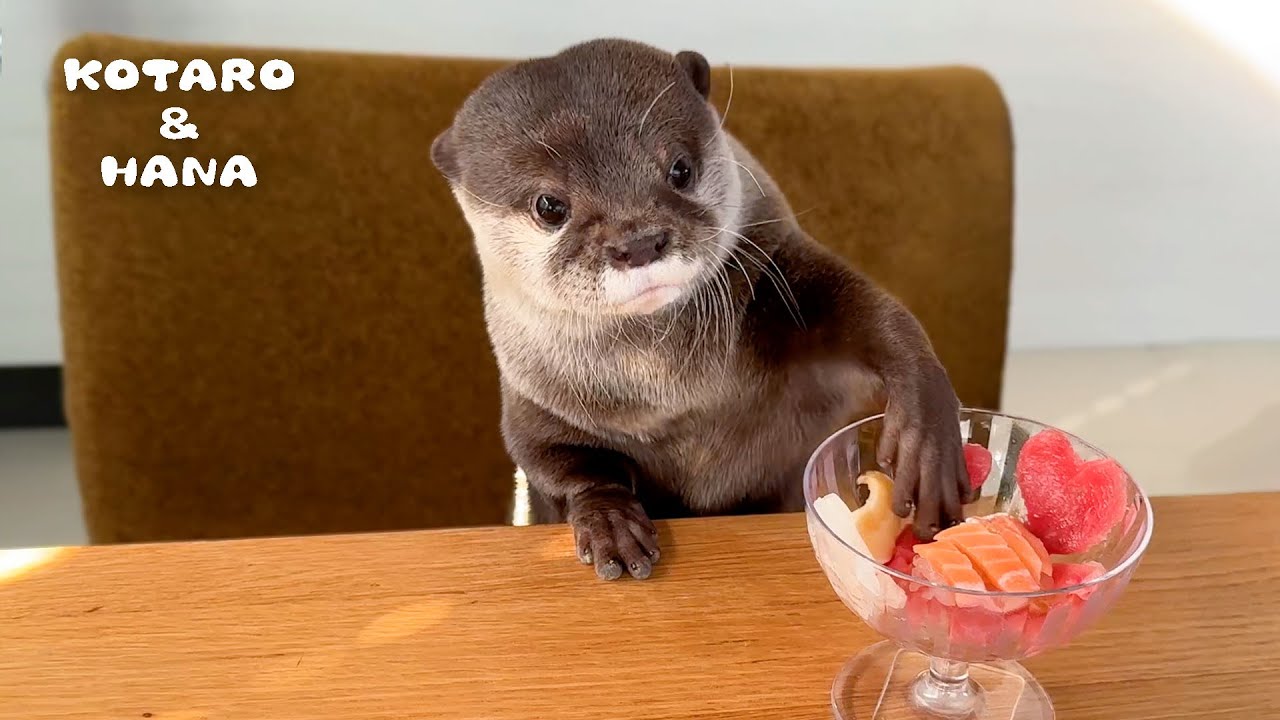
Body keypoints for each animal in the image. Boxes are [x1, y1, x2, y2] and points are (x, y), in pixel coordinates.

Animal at [431, 39, 970, 581]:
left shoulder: (784, 275)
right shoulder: (533, 401)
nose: (638, 241)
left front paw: (925, 437)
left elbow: (875, 316)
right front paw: (610, 523)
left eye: (680, 170)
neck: (675, 394)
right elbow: (560, 463)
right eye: (549, 206)